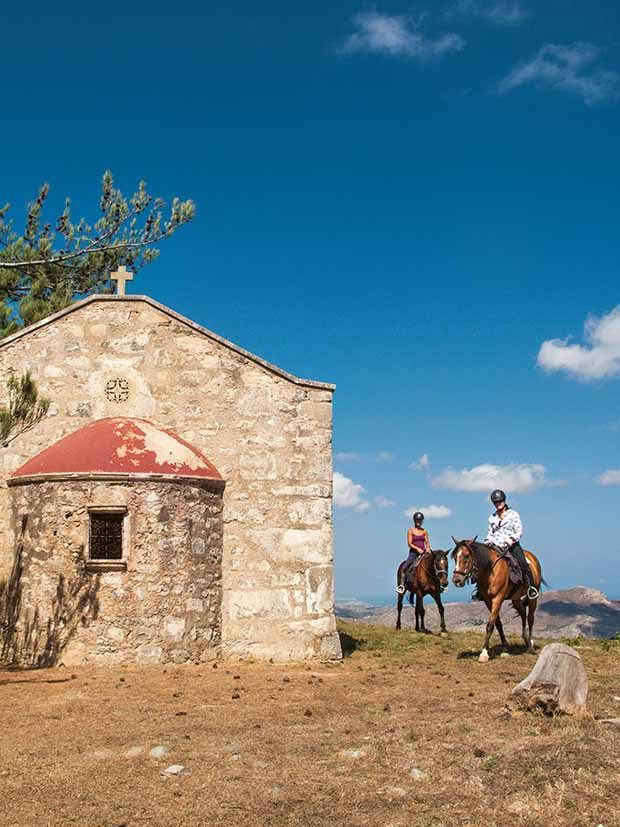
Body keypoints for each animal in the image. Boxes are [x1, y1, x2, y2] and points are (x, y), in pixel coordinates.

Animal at [450, 536, 544, 668]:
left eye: (467, 556)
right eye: (455, 557)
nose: (456, 580)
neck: (490, 570)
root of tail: (532, 557)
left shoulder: (498, 598)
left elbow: (490, 625)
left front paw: (484, 653)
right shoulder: (488, 600)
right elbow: (498, 623)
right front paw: (505, 647)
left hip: (532, 598)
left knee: (530, 618)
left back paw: (530, 645)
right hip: (515, 599)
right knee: (523, 614)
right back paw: (525, 638)